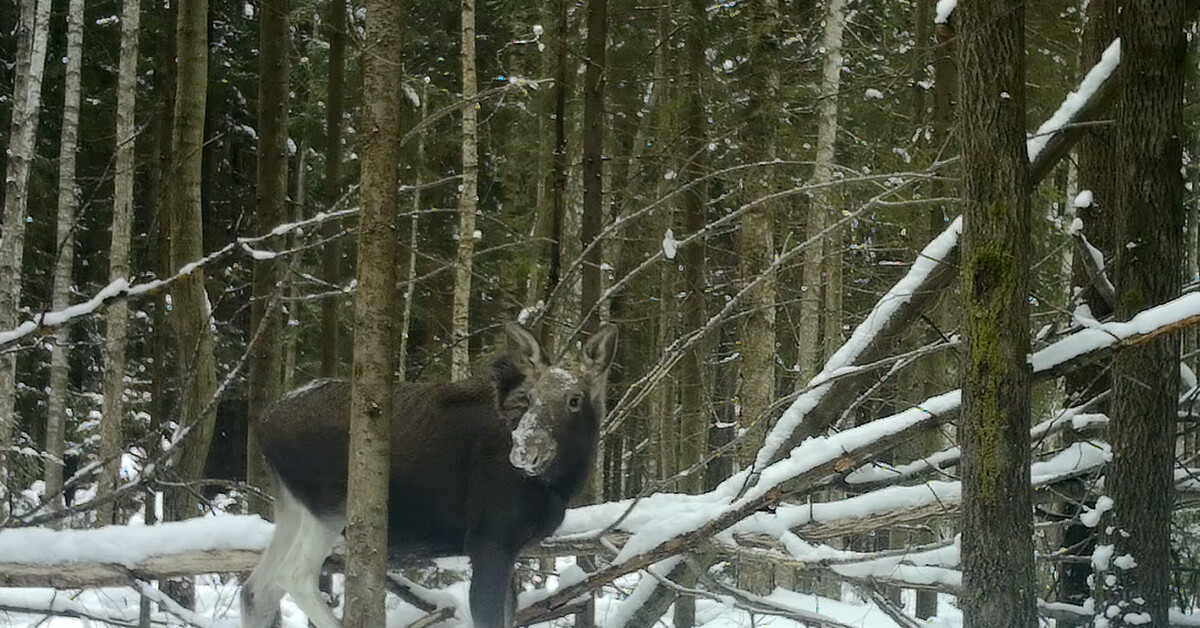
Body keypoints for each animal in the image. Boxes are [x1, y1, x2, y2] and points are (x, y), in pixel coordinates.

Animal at [241, 324, 619, 628]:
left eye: (574, 399)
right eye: (530, 398)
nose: (525, 450)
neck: (559, 484)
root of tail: (262, 423)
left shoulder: (512, 549)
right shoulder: (488, 541)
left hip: (293, 508)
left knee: (255, 590)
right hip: (328, 506)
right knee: (294, 575)